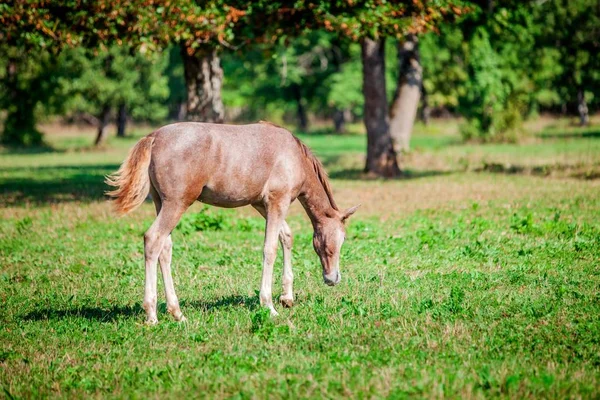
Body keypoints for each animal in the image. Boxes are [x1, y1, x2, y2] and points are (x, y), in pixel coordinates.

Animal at [105, 120, 358, 324]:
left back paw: (177, 312)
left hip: (161, 203)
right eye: (339, 241)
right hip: (176, 204)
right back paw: (152, 315)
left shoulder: (261, 204)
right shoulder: (278, 201)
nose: (332, 278)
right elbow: (270, 249)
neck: (293, 155)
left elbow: (286, 236)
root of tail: (154, 137)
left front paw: (287, 297)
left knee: (165, 248)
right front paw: (268, 305)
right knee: (153, 240)